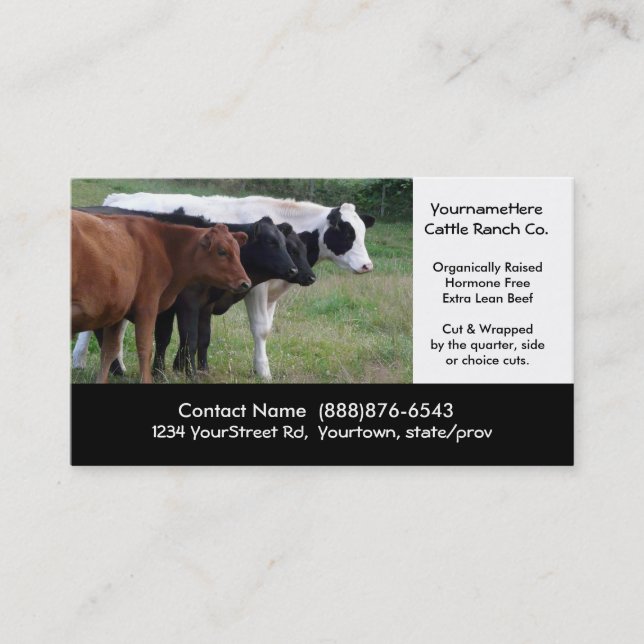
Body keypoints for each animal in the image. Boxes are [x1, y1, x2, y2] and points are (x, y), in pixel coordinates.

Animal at [71, 209, 250, 383]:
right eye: (222, 251)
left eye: (238, 251)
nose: (245, 283)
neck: (164, 246)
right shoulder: (147, 307)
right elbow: (145, 347)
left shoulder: (118, 311)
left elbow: (109, 350)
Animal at [101, 193, 376, 380]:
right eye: (347, 233)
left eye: (363, 233)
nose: (367, 266)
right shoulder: (254, 288)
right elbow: (261, 329)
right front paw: (264, 372)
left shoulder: (270, 292)